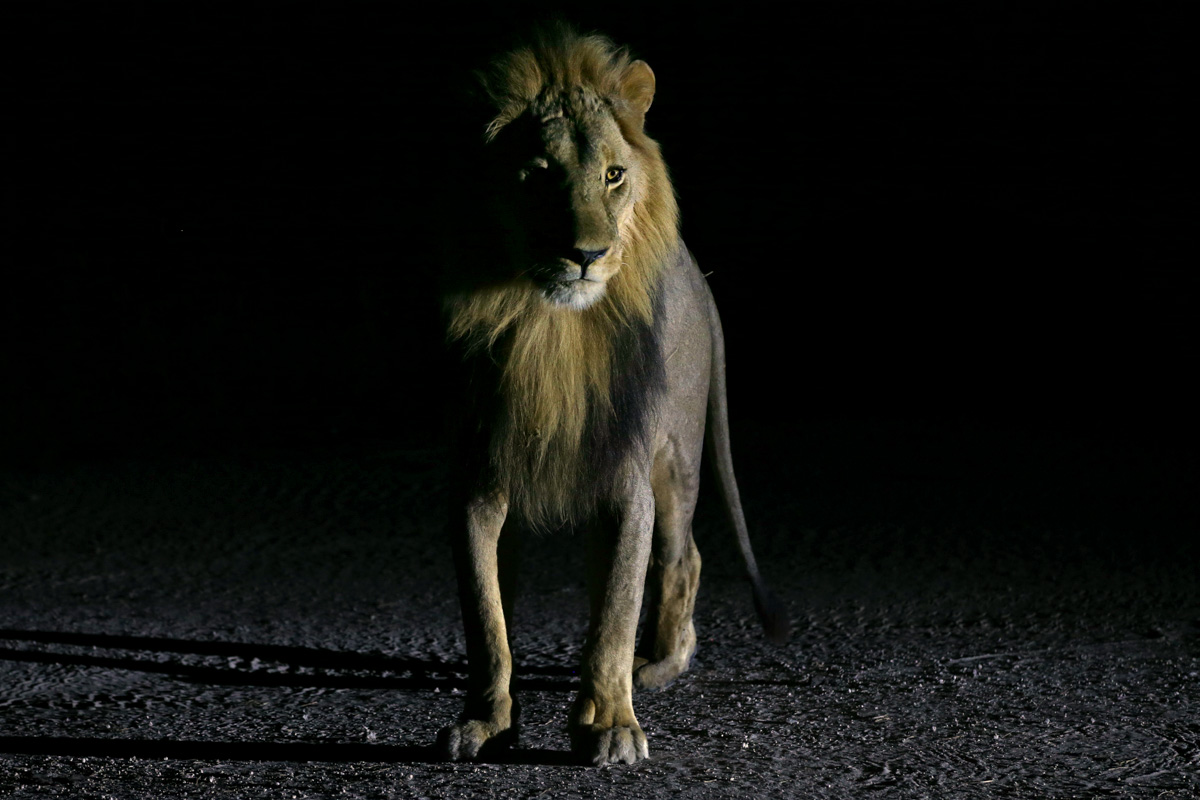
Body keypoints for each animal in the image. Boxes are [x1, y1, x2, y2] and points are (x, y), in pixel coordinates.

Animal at [439, 21, 787, 767]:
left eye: (613, 175)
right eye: (540, 173)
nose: (587, 255)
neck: (551, 331)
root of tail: (694, 269)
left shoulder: (626, 477)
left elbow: (614, 617)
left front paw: (610, 726)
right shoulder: (478, 480)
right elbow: (486, 618)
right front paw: (485, 721)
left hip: (676, 460)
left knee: (683, 556)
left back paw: (658, 665)